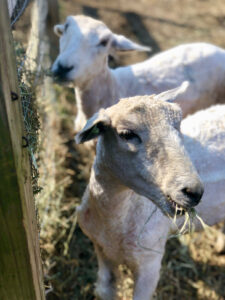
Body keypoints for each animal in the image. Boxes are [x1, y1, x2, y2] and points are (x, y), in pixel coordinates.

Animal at [74, 85, 224, 298]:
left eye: (179, 125)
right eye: (126, 134)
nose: (194, 191)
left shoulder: (149, 263)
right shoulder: (102, 250)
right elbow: (104, 289)